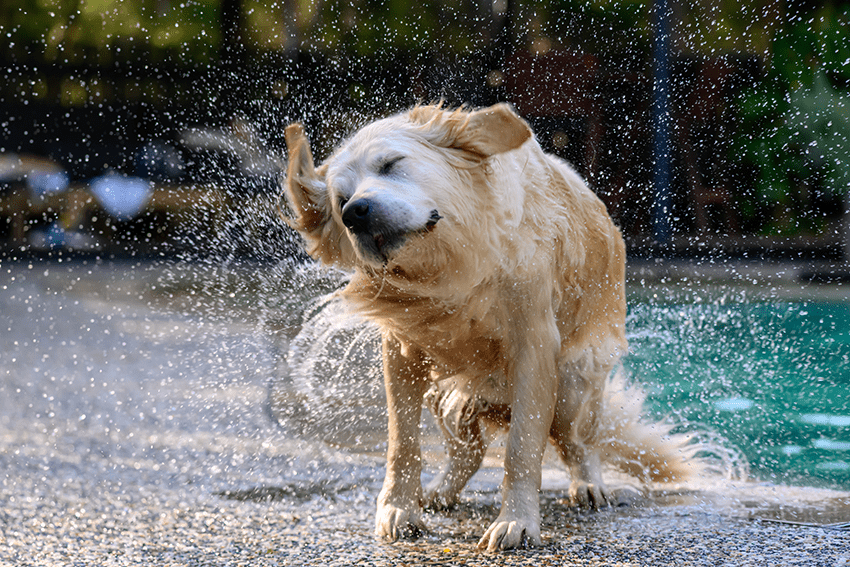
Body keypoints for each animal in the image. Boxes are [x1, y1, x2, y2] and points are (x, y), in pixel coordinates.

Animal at [282, 102, 692, 552]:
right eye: (341, 200)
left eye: (391, 164)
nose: (355, 212)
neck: (452, 268)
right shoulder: (402, 350)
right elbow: (402, 442)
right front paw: (399, 510)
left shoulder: (534, 348)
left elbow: (522, 450)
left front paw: (516, 522)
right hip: (449, 387)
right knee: (470, 451)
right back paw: (441, 492)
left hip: (570, 384)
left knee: (577, 442)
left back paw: (588, 486)